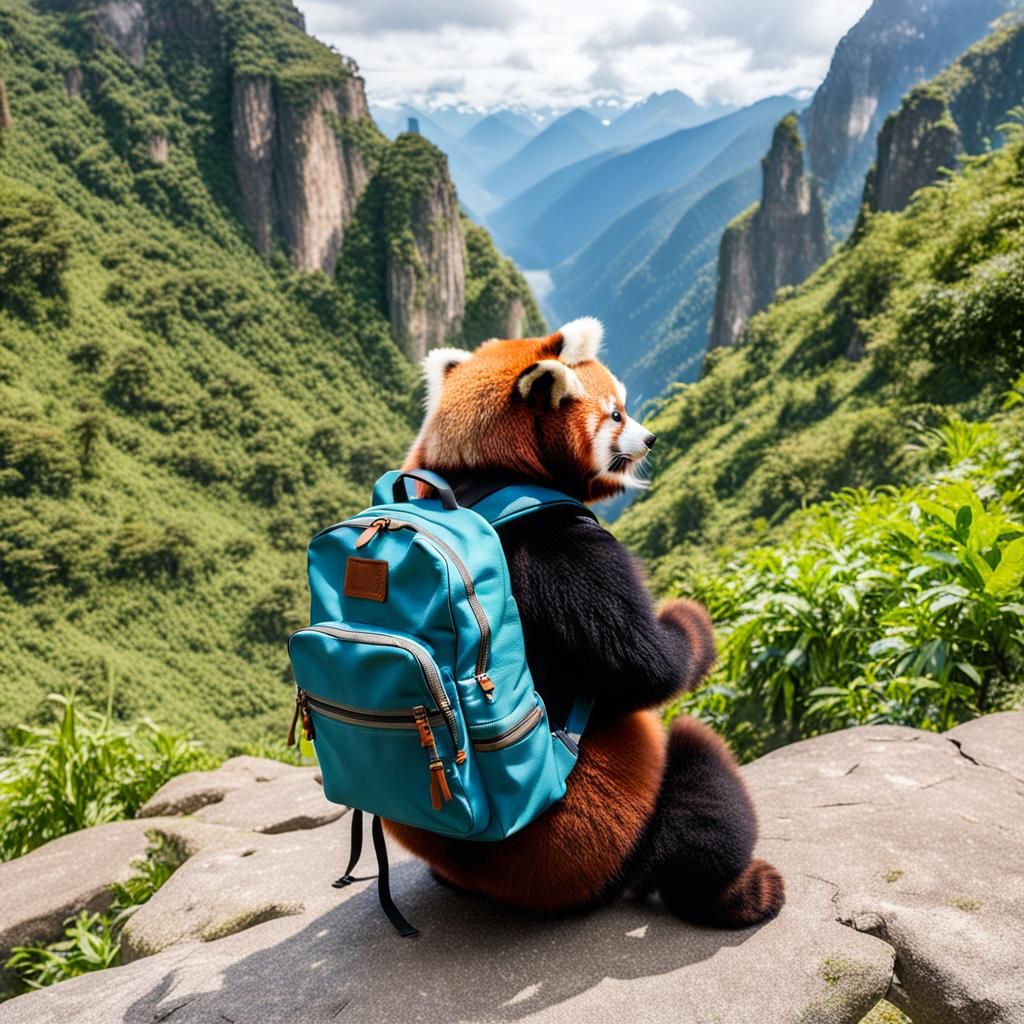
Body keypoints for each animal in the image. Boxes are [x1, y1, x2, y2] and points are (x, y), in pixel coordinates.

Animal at [384, 317, 785, 927]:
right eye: (617, 414)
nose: (652, 439)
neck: (483, 474)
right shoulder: (566, 547)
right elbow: (650, 670)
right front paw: (689, 619)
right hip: (617, 843)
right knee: (700, 778)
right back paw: (735, 892)